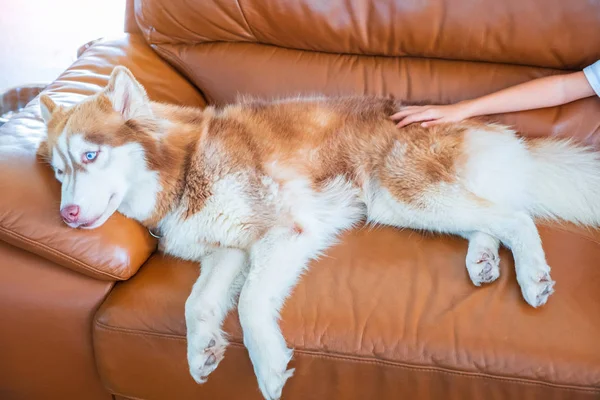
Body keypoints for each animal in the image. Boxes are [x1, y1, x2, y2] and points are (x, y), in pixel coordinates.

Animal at [38, 67, 600, 398]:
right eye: (60, 171)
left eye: (91, 155)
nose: (67, 216)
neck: (184, 168)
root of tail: (478, 123)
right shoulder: (229, 251)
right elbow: (197, 304)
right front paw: (201, 352)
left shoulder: (284, 231)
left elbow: (249, 304)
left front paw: (267, 367)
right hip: (403, 205)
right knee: (490, 217)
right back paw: (482, 260)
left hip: (399, 192)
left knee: (514, 217)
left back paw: (531, 275)